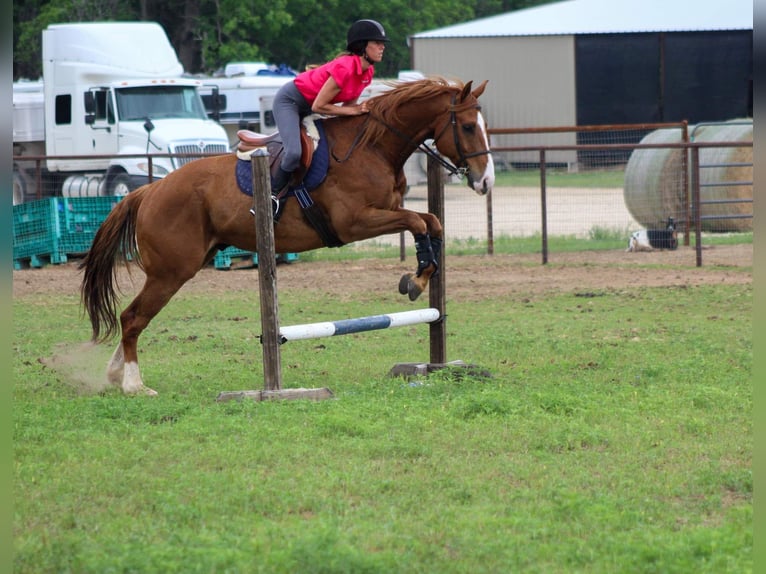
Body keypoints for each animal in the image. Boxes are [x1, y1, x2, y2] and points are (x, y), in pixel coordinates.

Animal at [79, 76, 498, 396]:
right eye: (466, 127)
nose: (486, 182)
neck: (373, 146)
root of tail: (148, 191)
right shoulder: (355, 223)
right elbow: (418, 222)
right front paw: (415, 279)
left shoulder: (385, 214)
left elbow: (431, 222)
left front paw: (420, 275)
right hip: (172, 270)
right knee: (133, 318)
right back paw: (133, 385)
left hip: (183, 266)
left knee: (135, 319)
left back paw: (115, 376)